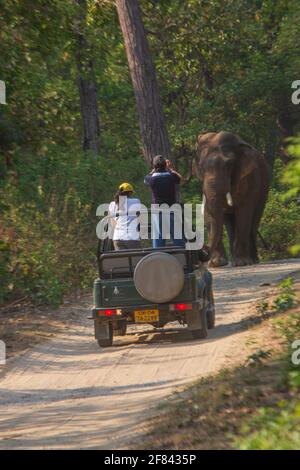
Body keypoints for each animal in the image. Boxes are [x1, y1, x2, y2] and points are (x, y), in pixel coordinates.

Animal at [193, 130, 270, 266]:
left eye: (229, 165)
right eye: (201, 167)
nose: (204, 249)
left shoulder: (249, 179)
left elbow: (244, 213)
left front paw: (242, 263)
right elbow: (208, 213)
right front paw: (217, 263)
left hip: (264, 189)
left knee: (253, 221)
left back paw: (253, 260)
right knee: (230, 222)